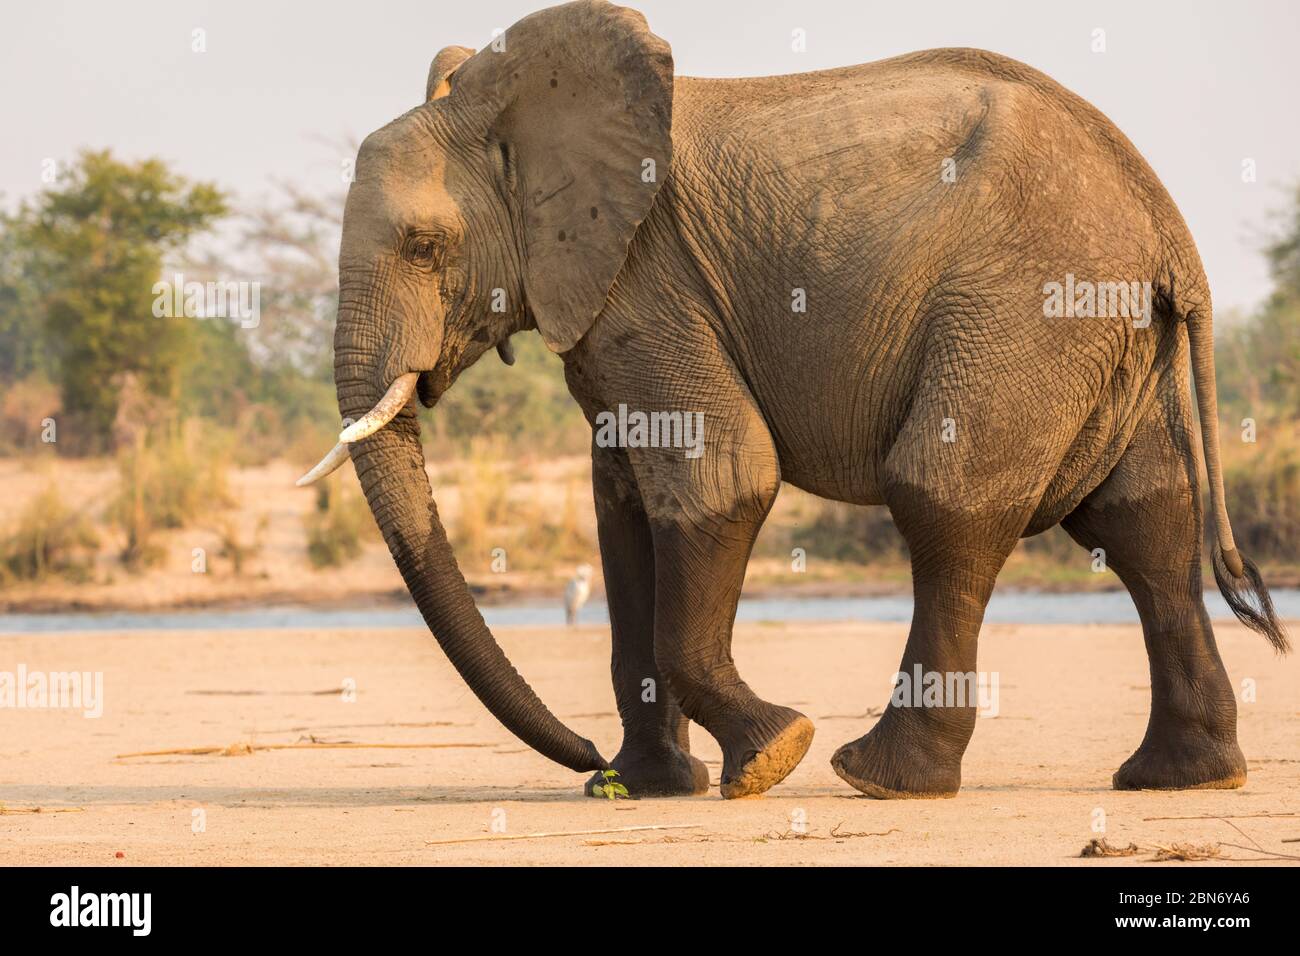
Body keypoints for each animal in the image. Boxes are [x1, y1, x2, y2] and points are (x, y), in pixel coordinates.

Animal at [301, 1, 1289, 801]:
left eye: (424, 246)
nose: (580, 756)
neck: (501, 105)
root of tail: (1166, 222)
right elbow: (625, 512)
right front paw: (649, 788)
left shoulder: (647, 281)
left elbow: (720, 481)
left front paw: (773, 756)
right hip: (1108, 332)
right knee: (1145, 519)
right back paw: (1181, 778)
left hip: (1027, 309)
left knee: (947, 498)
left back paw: (881, 777)